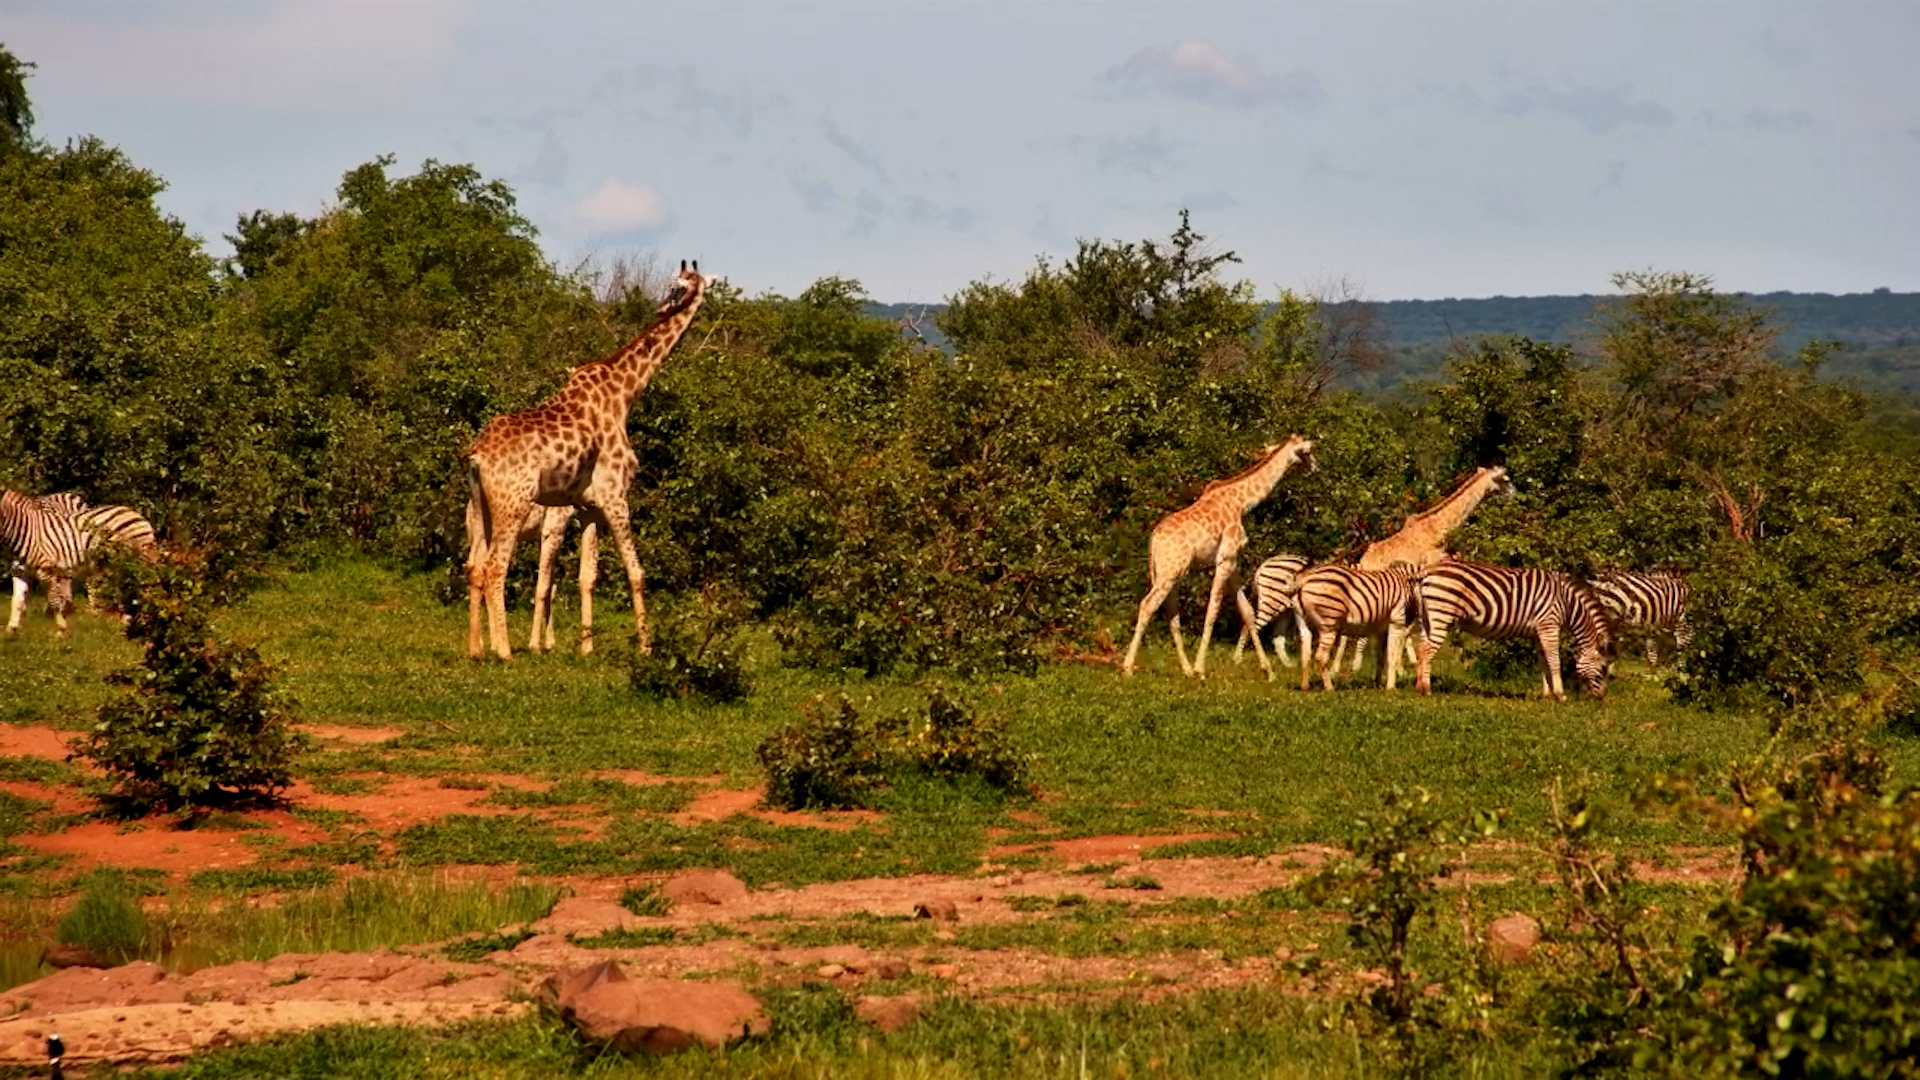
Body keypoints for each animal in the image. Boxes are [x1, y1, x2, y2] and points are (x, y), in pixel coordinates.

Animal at [1, 491, 157, 635]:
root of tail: (136, 514)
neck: (25, 532)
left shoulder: (49, 570)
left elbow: (54, 599)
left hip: (138, 560)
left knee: (147, 588)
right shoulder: (20, 572)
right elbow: (16, 600)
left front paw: (61, 628)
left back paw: (144, 622)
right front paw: (11, 629)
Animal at [464, 259, 708, 661]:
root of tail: (476, 455)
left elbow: (586, 576)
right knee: (495, 568)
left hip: (483, 505)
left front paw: (586, 649)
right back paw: (504, 652)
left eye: (680, 285)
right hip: (513, 504)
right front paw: (646, 649)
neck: (626, 392)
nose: (664, 306)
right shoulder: (615, 495)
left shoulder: (590, 506)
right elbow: (636, 572)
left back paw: (476, 650)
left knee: (475, 567)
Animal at [1121, 436, 1317, 679]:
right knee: (1148, 605)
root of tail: (1153, 540)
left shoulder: (1232, 561)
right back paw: (1129, 667)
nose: (1314, 467)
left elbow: (1247, 611)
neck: (1242, 502)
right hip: (1169, 572)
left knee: (1172, 614)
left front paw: (1268, 671)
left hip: (1169, 574)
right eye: (1308, 452)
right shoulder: (1225, 558)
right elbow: (1213, 609)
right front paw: (1201, 669)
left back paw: (1185, 669)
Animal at [1294, 562, 1420, 691]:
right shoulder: (1396, 622)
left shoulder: (1382, 629)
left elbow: (1380, 657)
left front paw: (1378, 683)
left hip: (1304, 624)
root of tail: (1304, 579)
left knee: (1305, 654)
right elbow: (1392, 656)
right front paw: (1390, 688)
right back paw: (1330, 688)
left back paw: (1305, 686)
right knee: (1321, 656)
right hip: (1329, 623)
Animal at [1413, 559, 1613, 701]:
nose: (1601, 697)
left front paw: (1547, 695)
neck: (1567, 604)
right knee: (1427, 650)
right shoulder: (1549, 625)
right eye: (1603, 668)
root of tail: (1426, 571)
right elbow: (1554, 660)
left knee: (1421, 648)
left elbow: (1543, 662)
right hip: (1442, 614)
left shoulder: (1538, 632)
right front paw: (1560, 694)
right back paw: (1426, 690)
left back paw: (1418, 686)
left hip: (1427, 620)